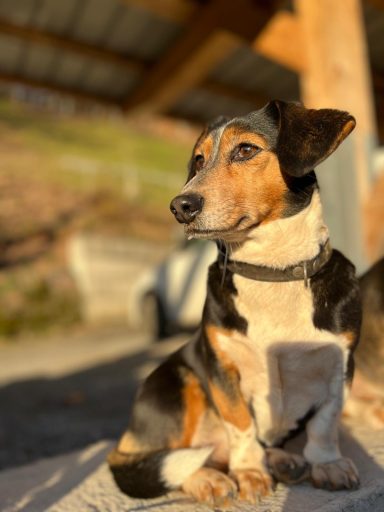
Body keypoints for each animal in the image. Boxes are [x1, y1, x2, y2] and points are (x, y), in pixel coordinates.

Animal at [109, 100, 364, 504]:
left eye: (245, 150)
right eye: (198, 160)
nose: (180, 206)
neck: (271, 272)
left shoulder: (340, 364)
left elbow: (325, 424)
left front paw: (327, 464)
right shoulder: (222, 368)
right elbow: (241, 425)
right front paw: (250, 473)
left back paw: (281, 461)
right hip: (177, 383)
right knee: (167, 461)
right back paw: (208, 479)